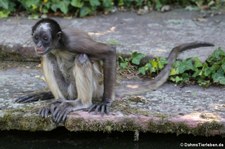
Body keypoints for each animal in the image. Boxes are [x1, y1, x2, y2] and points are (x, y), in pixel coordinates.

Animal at [15, 18, 213, 123]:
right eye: (36, 38)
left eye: (45, 38)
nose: (39, 46)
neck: (59, 46)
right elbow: (48, 56)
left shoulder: (73, 42)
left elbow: (109, 51)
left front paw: (106, 102)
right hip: (68, 89)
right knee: (47, 57)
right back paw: (56, 101)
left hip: (93, 88)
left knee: (81, 58)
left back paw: (81, 103)